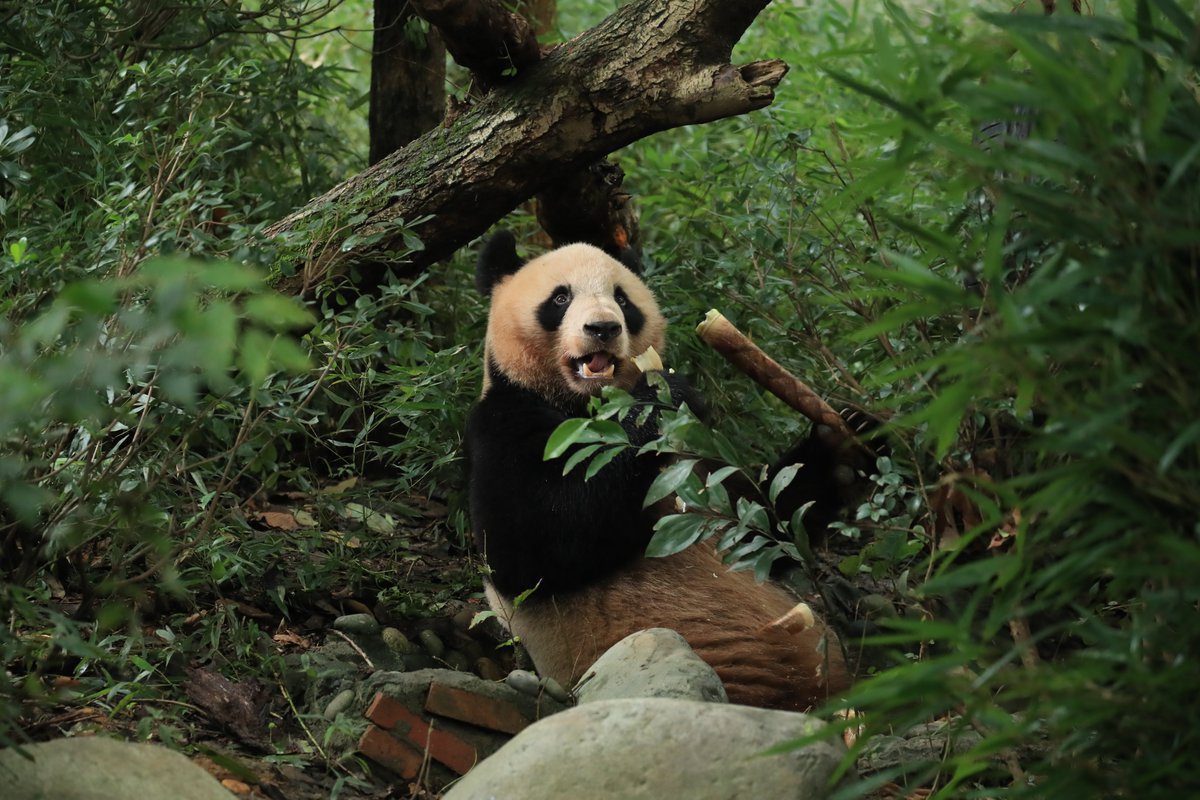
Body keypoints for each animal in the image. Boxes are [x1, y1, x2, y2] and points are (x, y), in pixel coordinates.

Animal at [463, 231, 849, 714]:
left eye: (622, 300)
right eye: (560, 297)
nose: (603, 329)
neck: (585, 403)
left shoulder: (700, 458)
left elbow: (763, 525)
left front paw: (846, 442)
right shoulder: (502, 423)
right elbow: (529, 550)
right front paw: (663, 396)